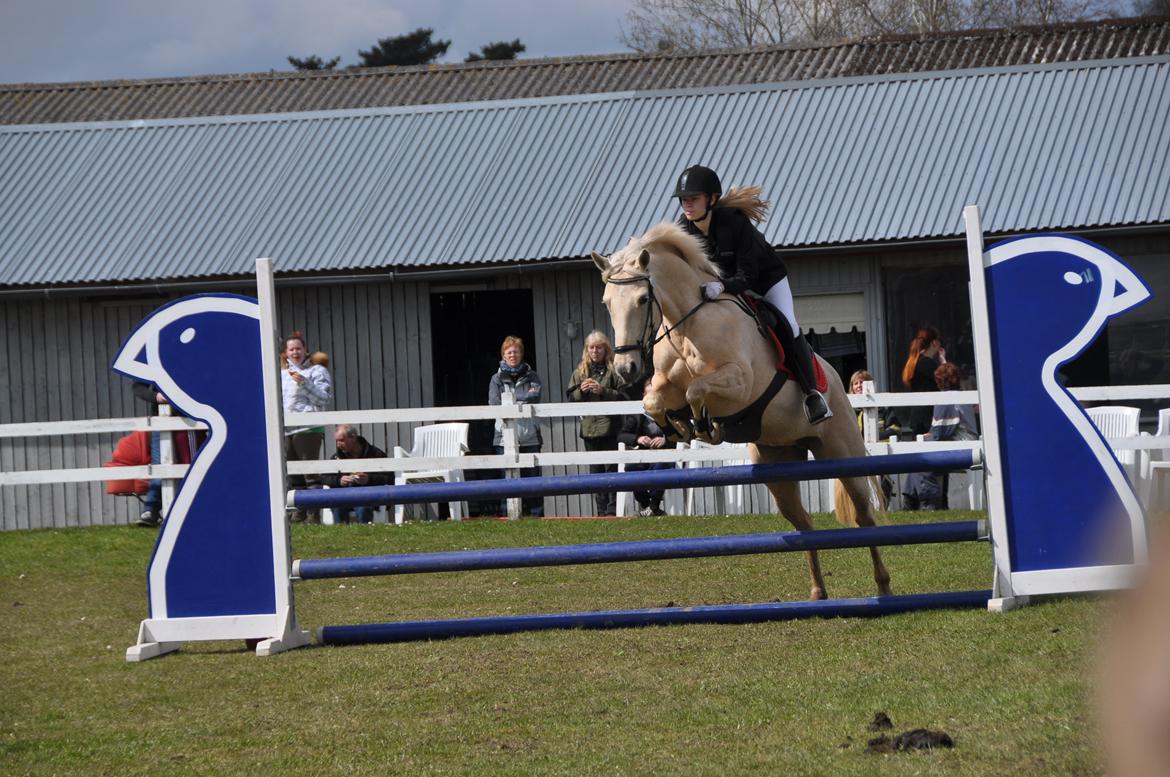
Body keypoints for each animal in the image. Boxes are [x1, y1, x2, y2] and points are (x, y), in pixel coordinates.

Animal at [589, 221, 889, 596]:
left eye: (643, 299)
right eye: (606, 302)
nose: (626, 369)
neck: (688, 324)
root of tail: (837, 381)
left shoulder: (740, 383)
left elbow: (697, 388)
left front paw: (703, 425)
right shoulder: (663, 383)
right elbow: (654, 400)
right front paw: (679, 427)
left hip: (841, 450)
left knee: (865, 515)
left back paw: (883, 587)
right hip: (778, 464)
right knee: (804, 523)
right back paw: (818, 593)